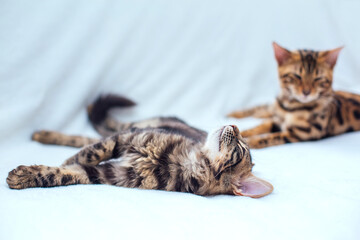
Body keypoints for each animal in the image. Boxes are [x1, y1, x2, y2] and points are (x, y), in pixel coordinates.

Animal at [6, 94, 272, 198]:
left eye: (240, 149)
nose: (235, 126)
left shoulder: (107, 174)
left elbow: (61, 174)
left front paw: (28, 176)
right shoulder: (125, 140)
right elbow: (90, 153)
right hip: (136, 126)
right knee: (89, 137)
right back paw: (44, 134)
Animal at [228, 42, 360, 149]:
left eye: (317, 79)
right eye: (297, 76)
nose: (306, 92)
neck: (291, 107)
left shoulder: (303, 133)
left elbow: (271, 137)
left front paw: (250, 141)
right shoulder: (277, 120)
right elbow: (259, 127)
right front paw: (241, 132)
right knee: (263, 108)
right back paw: (235, 114)